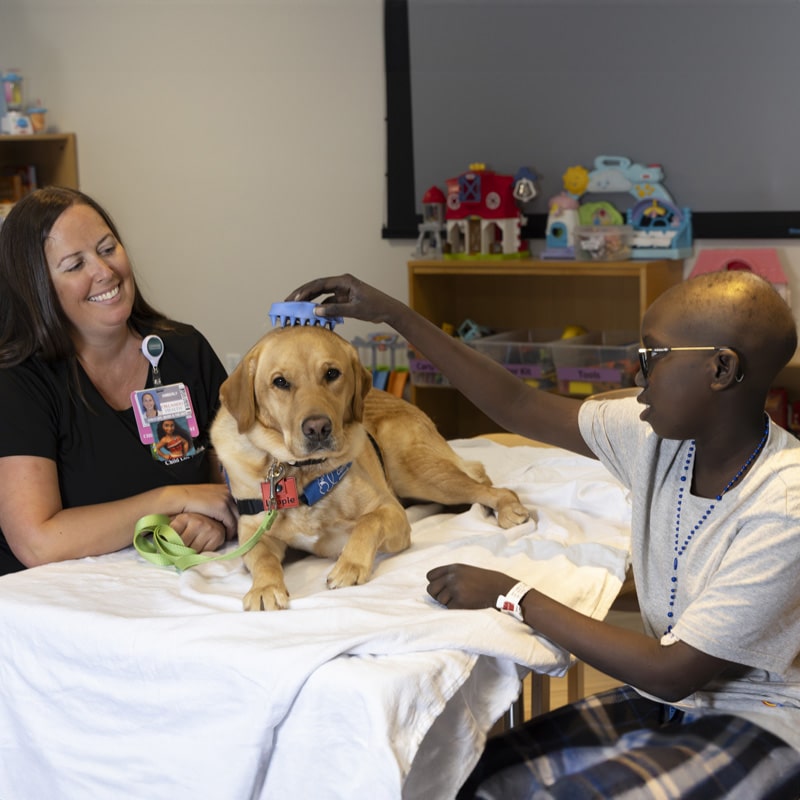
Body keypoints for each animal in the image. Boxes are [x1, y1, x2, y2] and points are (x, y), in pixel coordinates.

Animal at [209, 324, 528, 612]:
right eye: (280, 382)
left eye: (331, 373)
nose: (318, 428)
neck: (300, 472)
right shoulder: (253, 534)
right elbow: (263, 559)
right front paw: (264, 588)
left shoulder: (391, 512)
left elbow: (367, 522)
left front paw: (349, 565)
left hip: (418, 473)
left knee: (489, 486)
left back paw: (508, 508)